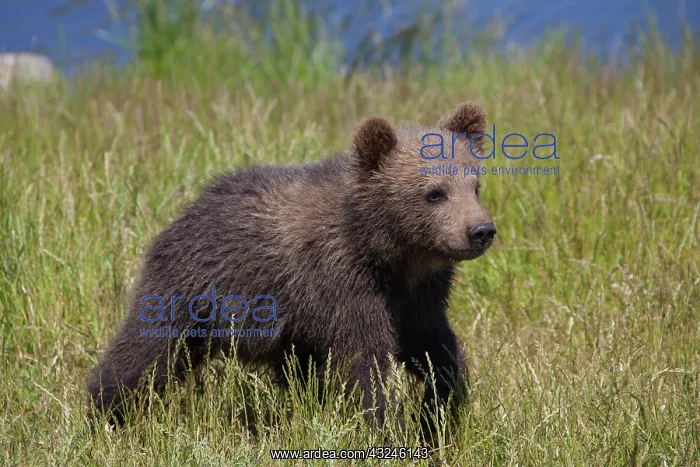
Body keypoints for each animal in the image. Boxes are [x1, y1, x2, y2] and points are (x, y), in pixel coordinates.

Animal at [86, 101, 497, 438]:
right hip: (192, 291)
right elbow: (363, 362)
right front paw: (383, 429)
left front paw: (441, 406)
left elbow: (433, 346)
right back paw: (104, 413)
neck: (392, 250)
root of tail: (183, 213)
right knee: (146, 351)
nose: (480, 230)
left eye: (474, 185)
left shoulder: (419, 295)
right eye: (434, 192)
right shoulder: (343, 282)